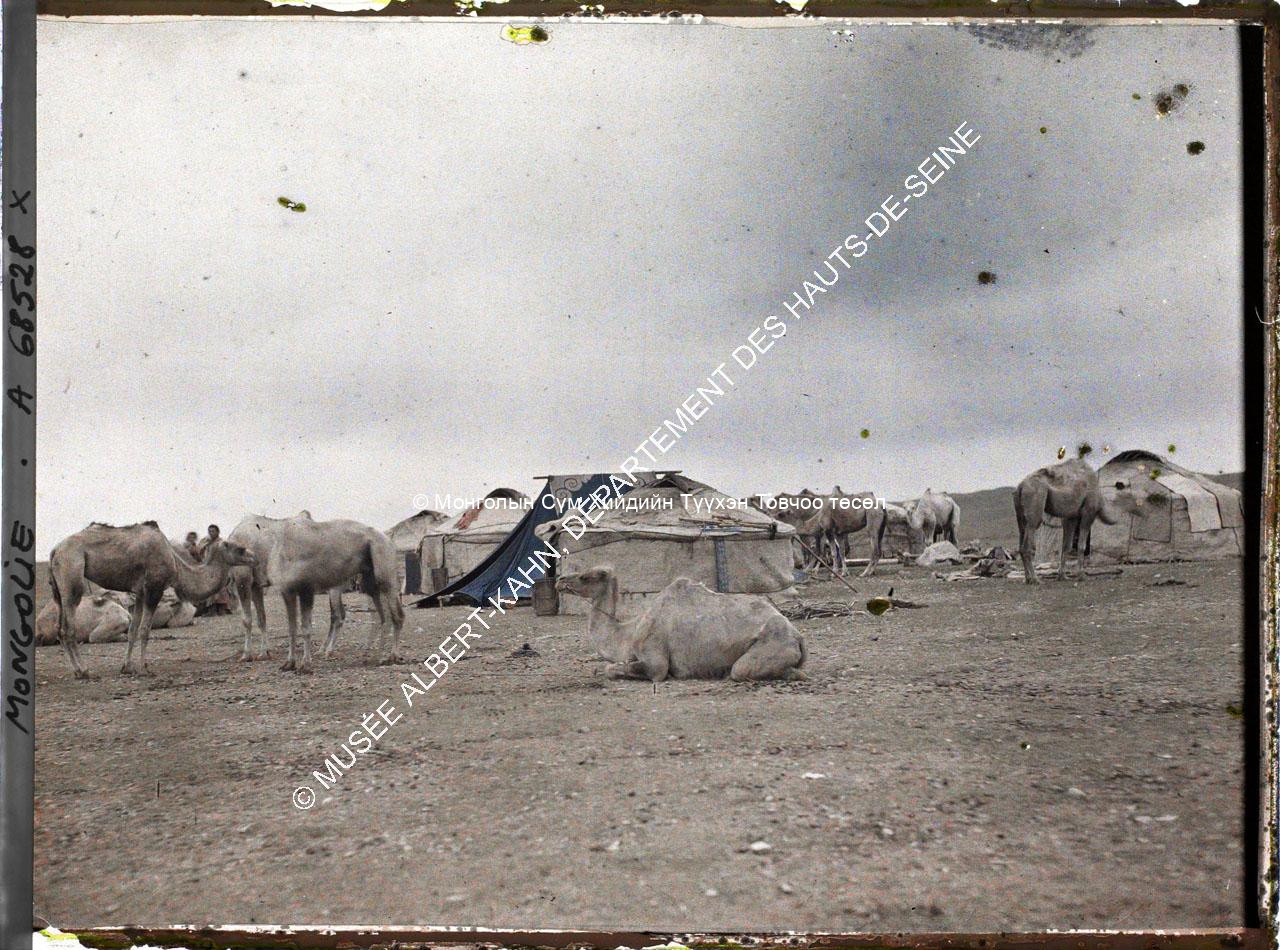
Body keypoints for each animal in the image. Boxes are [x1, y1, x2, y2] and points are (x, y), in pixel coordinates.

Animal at [49, 522, 257, 677]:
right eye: (240, 548)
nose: (253, 557)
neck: (176, 564)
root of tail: (55, 550)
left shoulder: (140, 593)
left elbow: (133, 630)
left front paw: (127, 667)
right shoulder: (154, 589)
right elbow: (145, 630)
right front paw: (144, 668)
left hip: (57, 589)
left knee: (60, 628)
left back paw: (77, 670)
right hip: (72, 573)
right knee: (68, 628)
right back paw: (83, 671)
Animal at [227, 511, 346, 661]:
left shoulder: (243, 577)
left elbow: (246, 620)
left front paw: (246, 655)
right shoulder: (256, 585)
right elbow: (262, 618)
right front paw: (264, 653)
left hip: (334, 585)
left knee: (337, 616)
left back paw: (328, 650)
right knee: (338, 614)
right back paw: (322, 650)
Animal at [265, 518, 404, 674]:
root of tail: (389, 539)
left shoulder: (306, 589)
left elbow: (306, 628)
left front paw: (305, 665)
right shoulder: (287, 592)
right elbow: (291, 628)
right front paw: (289, 663)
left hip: (384, 568)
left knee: (397, 615)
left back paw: (393, 656)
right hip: (370, 582)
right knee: (384, 617)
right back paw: (376, 658)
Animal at [555, 566, 807, 682]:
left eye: (585, 577)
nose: (559, 579)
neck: (628, 633)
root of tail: (797, 636)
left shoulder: (654, 657)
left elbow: (612, 669)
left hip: (768, 645)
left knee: (741, 670)